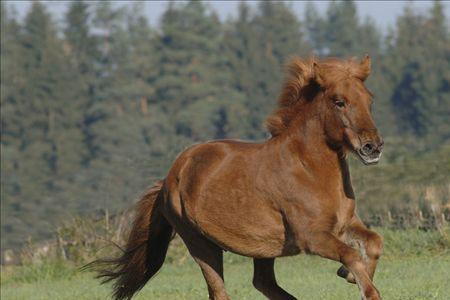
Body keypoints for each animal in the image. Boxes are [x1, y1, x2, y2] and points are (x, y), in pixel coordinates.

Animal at [91, 56, 384, 300]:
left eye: (370, 99)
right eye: (339, 101)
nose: (373, 147)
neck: (309, 170)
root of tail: (167, 181)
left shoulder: (344, 224)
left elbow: (374, 242)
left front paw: (348, 276)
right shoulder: (312, 236)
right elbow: (351, 255)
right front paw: (363, 286)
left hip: (263, 246)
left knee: (263, 283)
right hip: (201, 244)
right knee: (222, 291)